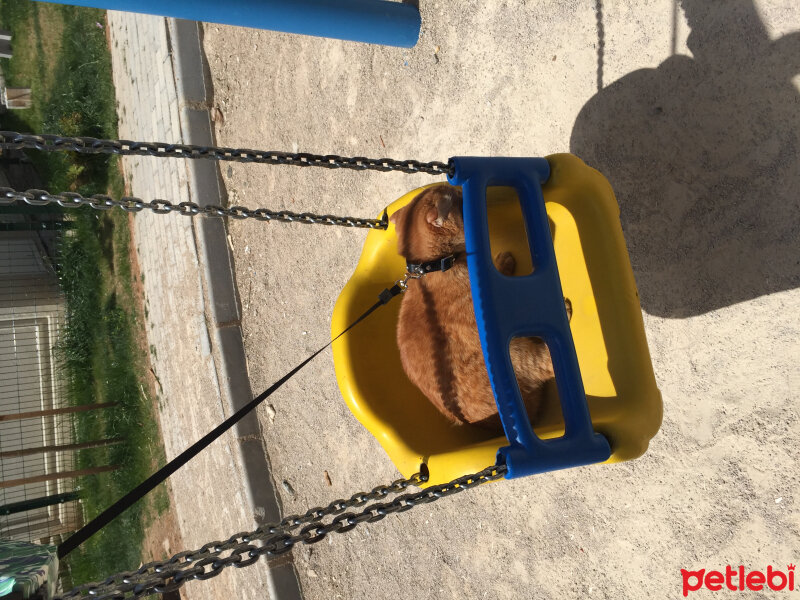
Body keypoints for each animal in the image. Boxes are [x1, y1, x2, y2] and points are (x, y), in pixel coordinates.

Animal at [390, 185, 556, 428]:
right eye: (459, 201)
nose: (460, 189)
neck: (435, 266)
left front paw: (503, 261)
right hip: (515, 351)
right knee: (542, 364)